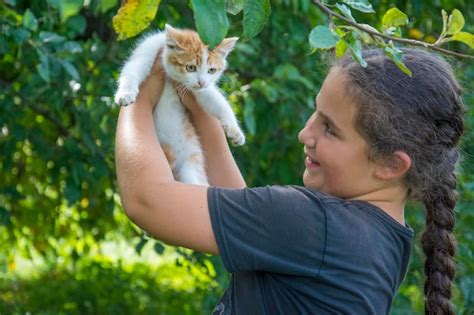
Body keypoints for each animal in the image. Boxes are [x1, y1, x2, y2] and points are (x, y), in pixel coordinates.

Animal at [115, 25, 244, 188]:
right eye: (191, 67)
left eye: (211, 70)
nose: (201, 82)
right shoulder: (148, 49)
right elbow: (133, 70)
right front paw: (125, 94)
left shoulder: (201, 90)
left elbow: (217, 101)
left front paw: (235, 131)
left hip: (191, 162)